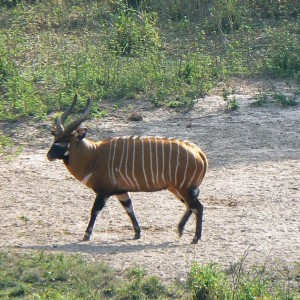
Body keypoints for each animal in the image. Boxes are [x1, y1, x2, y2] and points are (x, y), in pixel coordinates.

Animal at [47, 94, 207, 244]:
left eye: (65, 140)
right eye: (55, 138)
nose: (49, 155)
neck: (94, 155)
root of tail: (199, 152)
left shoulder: (104, 191)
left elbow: (95, 210)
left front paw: (86, 235)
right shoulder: (121, 191)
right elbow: (129, 209)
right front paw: (137, 233)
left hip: (183, 188)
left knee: (198, 207)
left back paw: (195, 238)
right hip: (176, 188)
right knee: (190, 206)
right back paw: (180, 230)